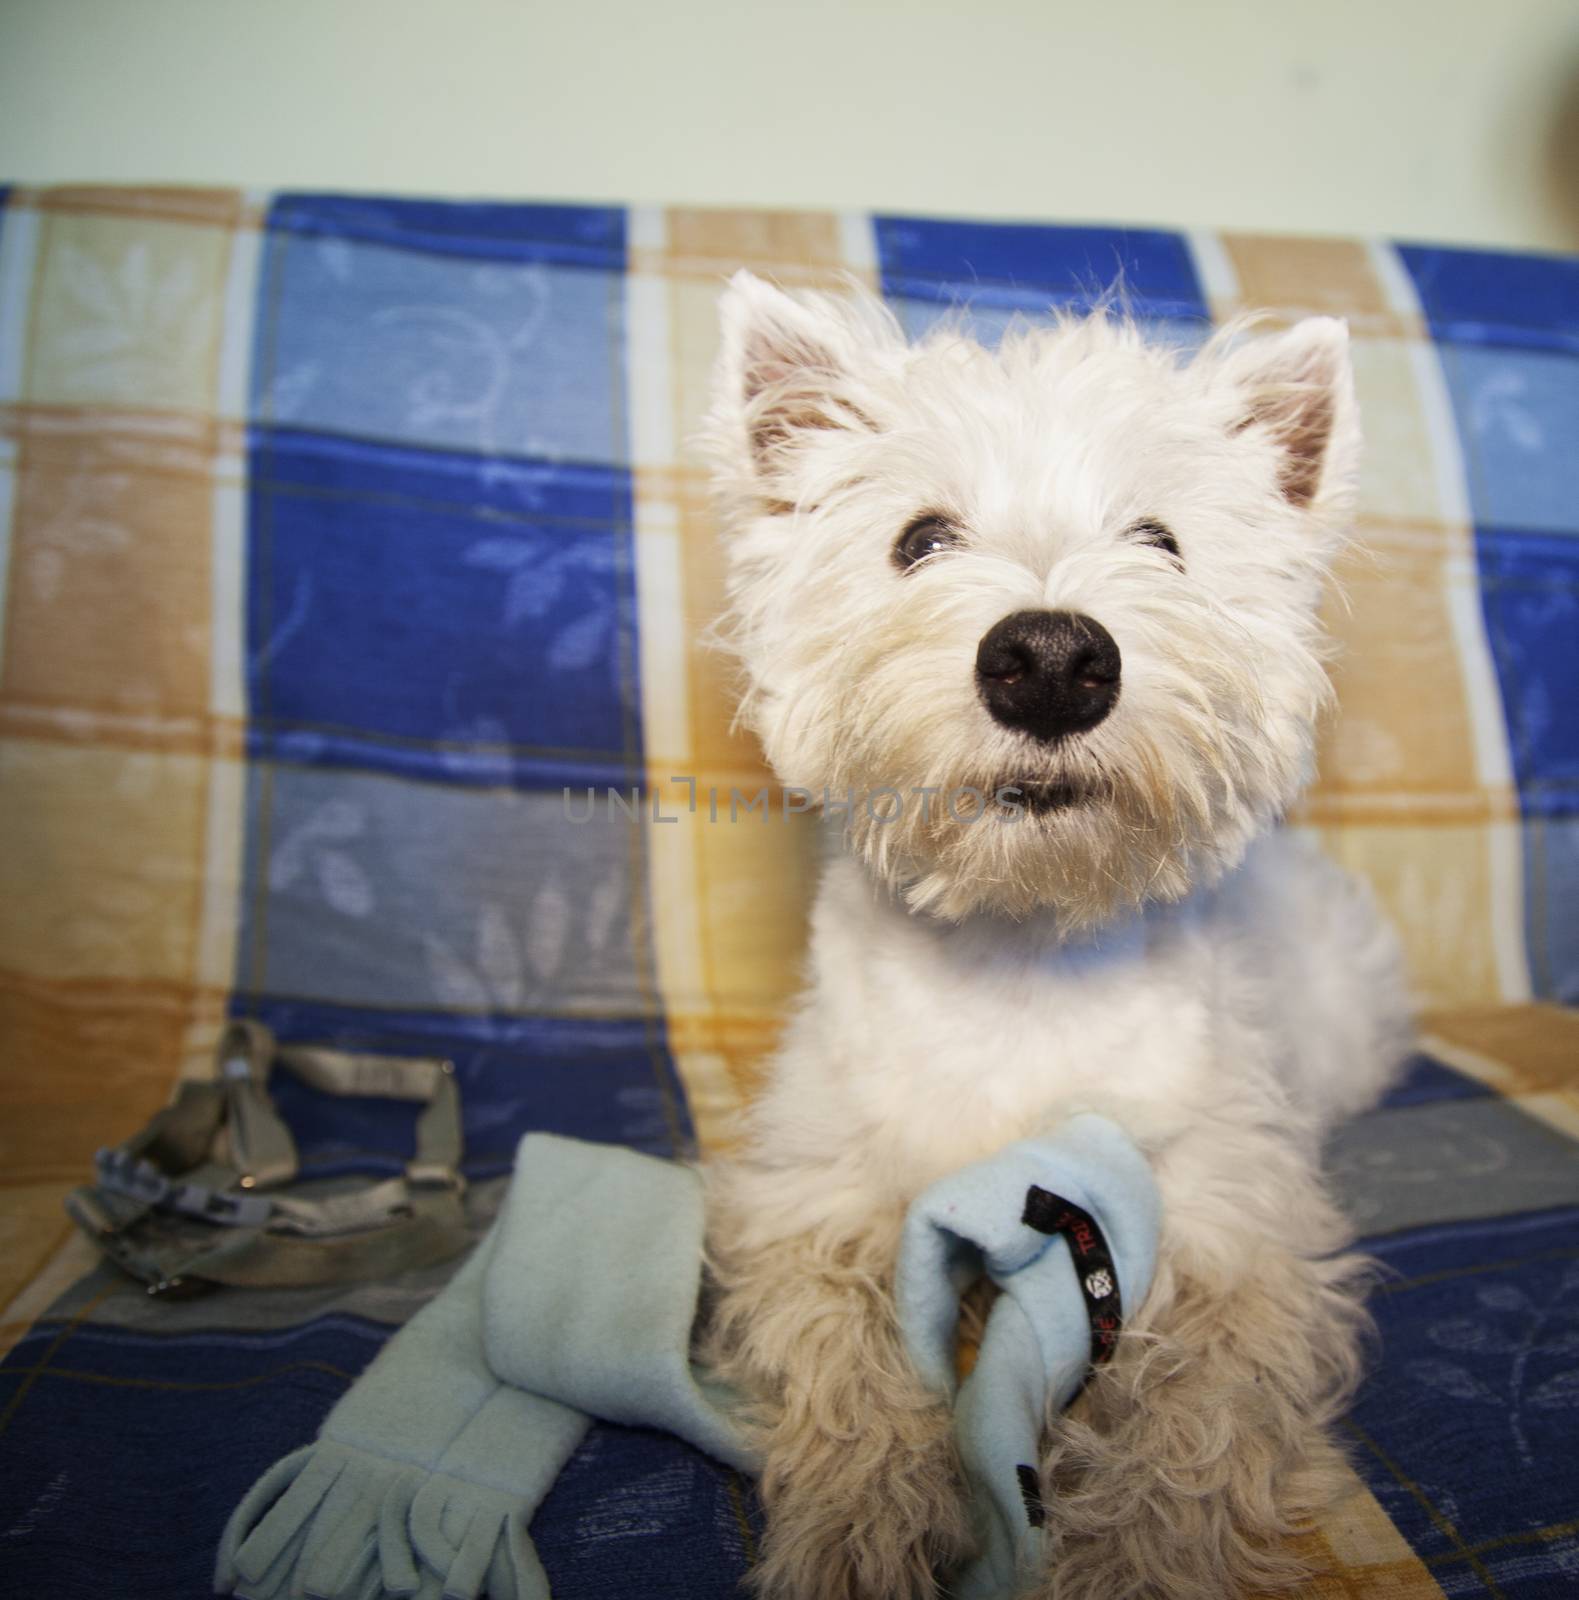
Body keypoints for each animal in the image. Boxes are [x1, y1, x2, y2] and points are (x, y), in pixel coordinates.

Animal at [697, 275, 1414, 1600]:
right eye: (919, 538)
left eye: (1162, 541)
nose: (1047, 656)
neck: (1018, 950)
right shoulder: (808, 1197)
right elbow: (842, 1362)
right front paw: (858, 1530)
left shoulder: (1239, 1233)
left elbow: (1195, 1423)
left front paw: (1135, 1558)